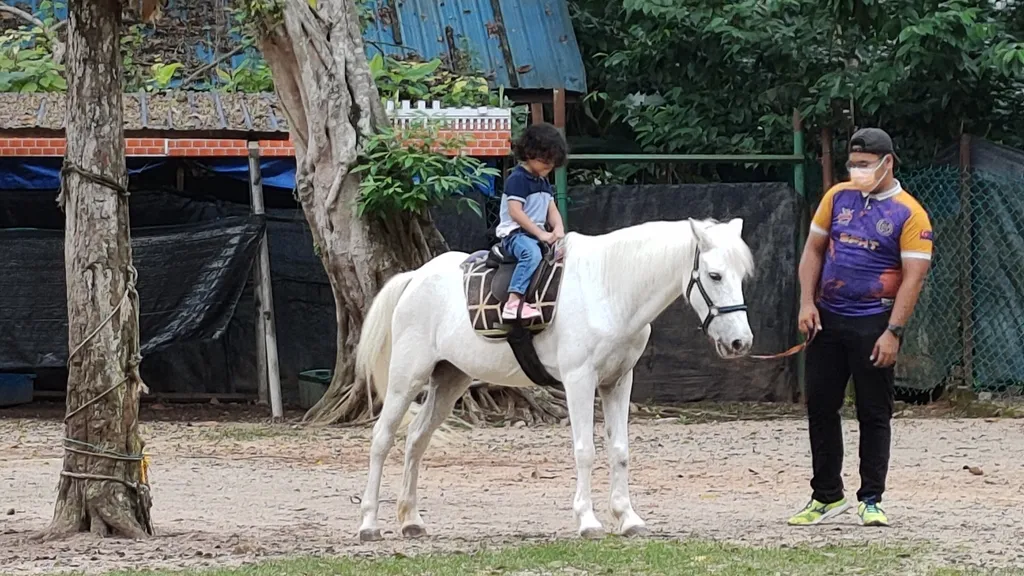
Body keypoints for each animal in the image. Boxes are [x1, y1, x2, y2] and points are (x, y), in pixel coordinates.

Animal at [356, 217, 757, 541]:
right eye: (715, 275)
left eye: (741, 277)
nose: (740, 342)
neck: (610, 288)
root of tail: (416, 278)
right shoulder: (579, 381)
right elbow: (585, 451)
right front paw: (589, 522)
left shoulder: (617, 382)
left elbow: (620, 451)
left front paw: (628, 518)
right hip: (406, 379)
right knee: (382, 439)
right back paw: (369, 524)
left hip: (449, 380)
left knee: (416, 440)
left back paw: (411, 520)